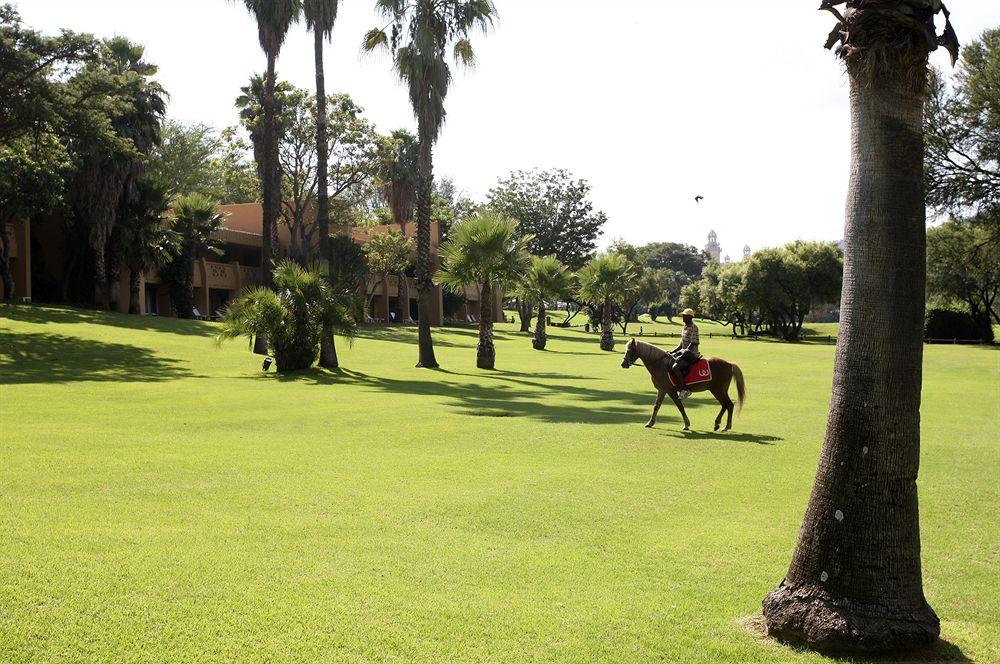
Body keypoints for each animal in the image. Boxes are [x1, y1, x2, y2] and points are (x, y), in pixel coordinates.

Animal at [620, 340, 748, 434]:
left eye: (629, 350)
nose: (623, 364)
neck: (660, 364)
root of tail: (729, 364)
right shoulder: (662, 390)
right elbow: (656, 406)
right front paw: (650, 423)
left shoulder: (671, 391)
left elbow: (680, 406)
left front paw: (686, 424)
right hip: (720, 390)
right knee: (728, 405)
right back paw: (723, 425)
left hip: (717, 390)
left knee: (726, 404)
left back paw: (721, 425)